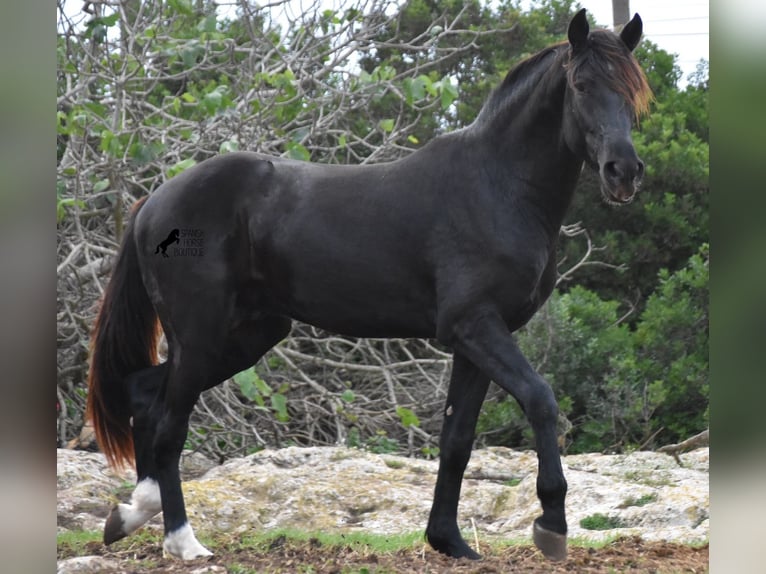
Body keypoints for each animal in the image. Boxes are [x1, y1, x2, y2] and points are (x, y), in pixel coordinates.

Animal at [88, 10, 656, 564]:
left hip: (249, 335)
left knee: (144, 394)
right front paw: (552, 526)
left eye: (634, 90)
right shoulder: (475, 327)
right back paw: (183, 542)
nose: (624, 172)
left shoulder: (475, 341)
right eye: (581, 84)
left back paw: (130, 514)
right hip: (201, 336)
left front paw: (449, 541)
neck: (496, 187)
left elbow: (456, 439)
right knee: (169, 426)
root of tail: (155, 201)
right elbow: (541, 399)